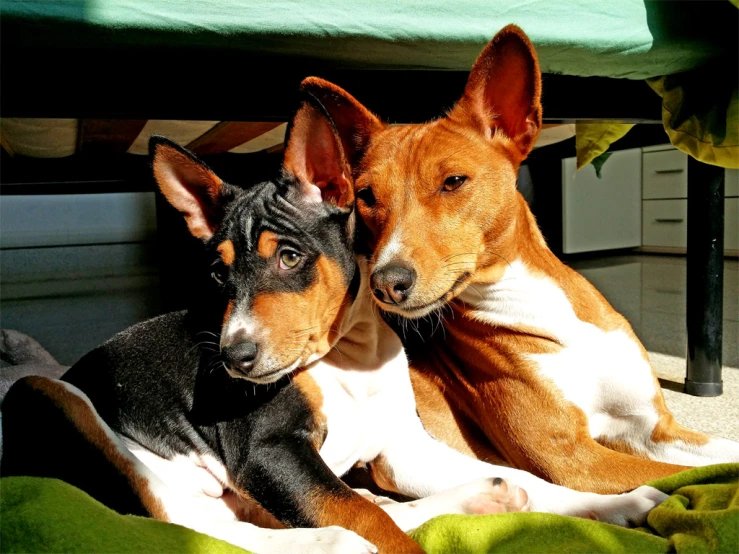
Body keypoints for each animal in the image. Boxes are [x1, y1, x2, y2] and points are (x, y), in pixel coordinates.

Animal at [1, 96, 664, 552]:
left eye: (290, 258)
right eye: (216, 275)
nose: (234, 360)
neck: (351, 359)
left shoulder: (401, 449)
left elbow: (516, 473)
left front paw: (614, 502)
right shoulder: (270, 454)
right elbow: (372, 520)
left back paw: (483, 498)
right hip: (50, 396)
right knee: (205, 530)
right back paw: (340, 541)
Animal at [300, 24, 739, 492]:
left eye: (453, 181)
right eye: (366, 196)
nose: (386, 283)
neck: (542, 308)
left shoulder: (651, 428)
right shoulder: (573, 460)